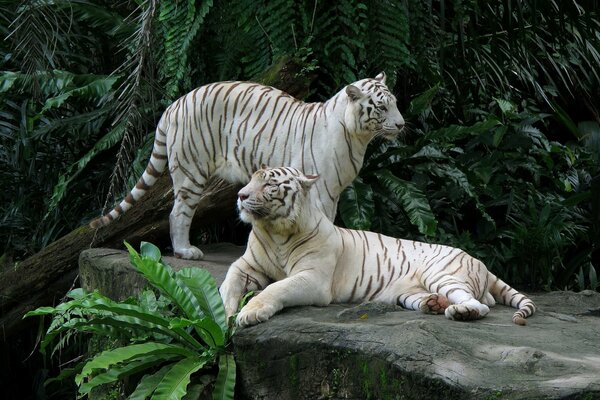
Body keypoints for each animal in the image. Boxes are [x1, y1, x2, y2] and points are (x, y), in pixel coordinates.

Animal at [91, 72, 406, 260]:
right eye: (381, 107)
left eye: (395, 103)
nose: (402, 125)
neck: (358, 137)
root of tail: (175, 104)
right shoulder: (321, 189)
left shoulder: (335, 190)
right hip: (192, 171)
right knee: (178, 212)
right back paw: (185, 251)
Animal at [221, 167, 540, 326]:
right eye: (250, 180)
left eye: (269, 185)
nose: (240, 195)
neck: (276, 231)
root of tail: (481, 263)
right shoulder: (246, 265)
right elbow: (227, 283)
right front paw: (226, 314)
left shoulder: (313, 278)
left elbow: (277, 288)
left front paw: (250, 313)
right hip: (407, 293)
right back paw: (434, 304)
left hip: (443, 274)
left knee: (481, 305)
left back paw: (460, 313)